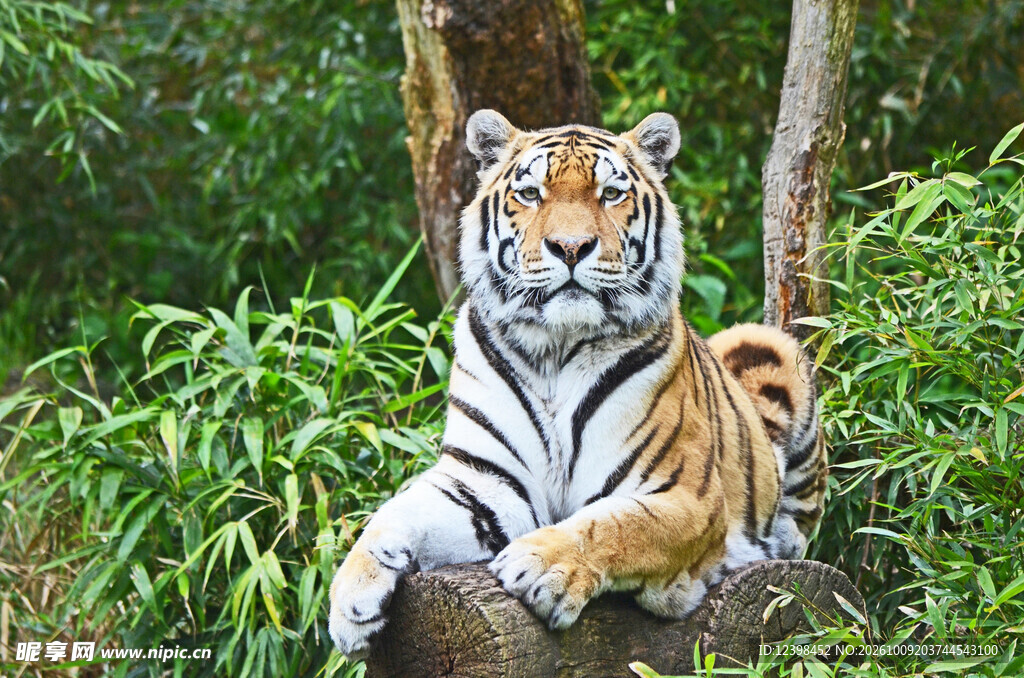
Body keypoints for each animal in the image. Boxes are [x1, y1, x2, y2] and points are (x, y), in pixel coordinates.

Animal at [328, 110, 827, 658]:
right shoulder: (483, 481)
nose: (570, 248)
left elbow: (612, 525)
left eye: (610, 194)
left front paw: (540, 565)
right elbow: (393, 514)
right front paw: (351, 599)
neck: (556, 350)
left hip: (765, 344)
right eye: (530, 193)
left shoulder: (686, 497)